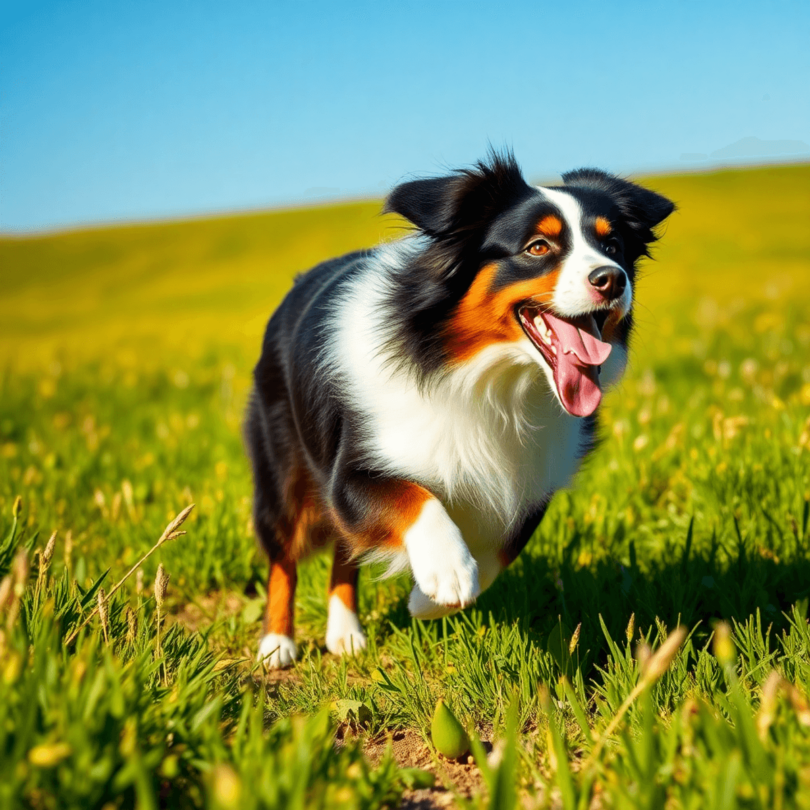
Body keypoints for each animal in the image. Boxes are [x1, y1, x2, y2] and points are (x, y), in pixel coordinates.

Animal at [243, 150, 672, 664]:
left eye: (613, 245)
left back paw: (345, 632)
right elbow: (414, 497)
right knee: (283, 555)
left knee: (345, 552)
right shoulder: (349, 473)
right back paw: (277, 643)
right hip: (285, 474)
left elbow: (499, 553)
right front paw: (446, 572)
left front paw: (426, 600)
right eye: (538, 247)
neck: (488, 379)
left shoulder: (530, 481)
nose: (612, 279)